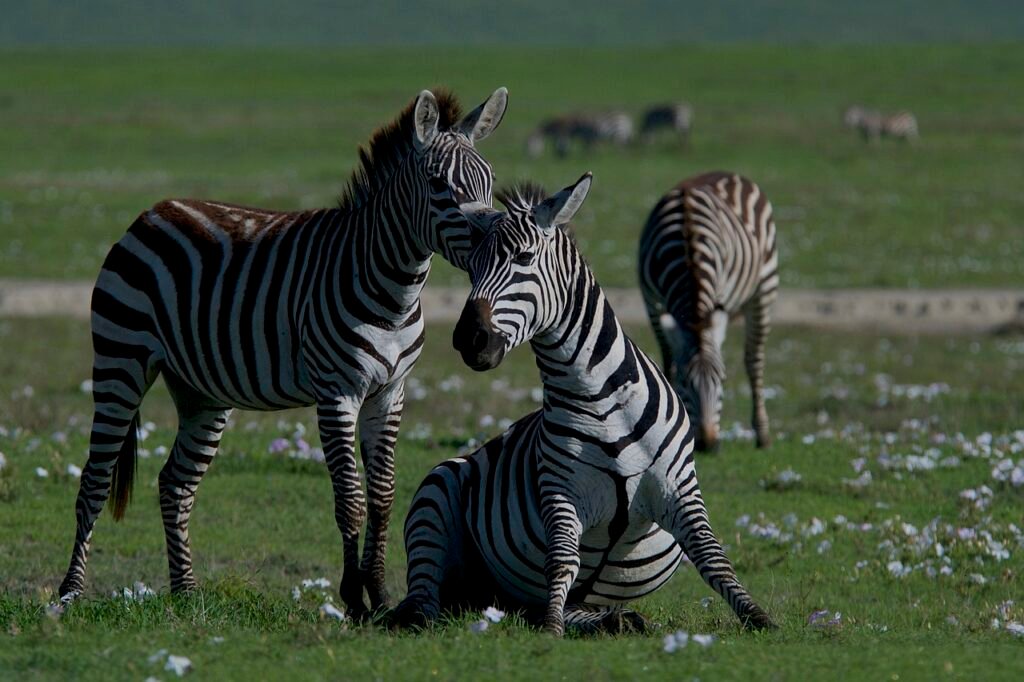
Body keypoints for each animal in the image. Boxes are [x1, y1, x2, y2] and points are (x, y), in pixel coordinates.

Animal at [57, 87, 509, 619]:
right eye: (439, 185)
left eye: (490, 182)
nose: (492, 244)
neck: (394, 292)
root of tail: (153, 212)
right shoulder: (337, 393)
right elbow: (350, 498)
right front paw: (353, 598)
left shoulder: (389, 393)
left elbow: (382, 496)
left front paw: (379, 596)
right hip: (120, 360)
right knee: (94, 480)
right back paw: (69, 593)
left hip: (202, 392)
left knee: (175, 484)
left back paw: (186, 592)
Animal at [638, 172, 778, 453]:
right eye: (683, 382)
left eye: (722, 380)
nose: (708, 444)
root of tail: (727, 173)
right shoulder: (652, 303)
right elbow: (669, 360)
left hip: (764, 289)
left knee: (754, 360)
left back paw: (762, 435)